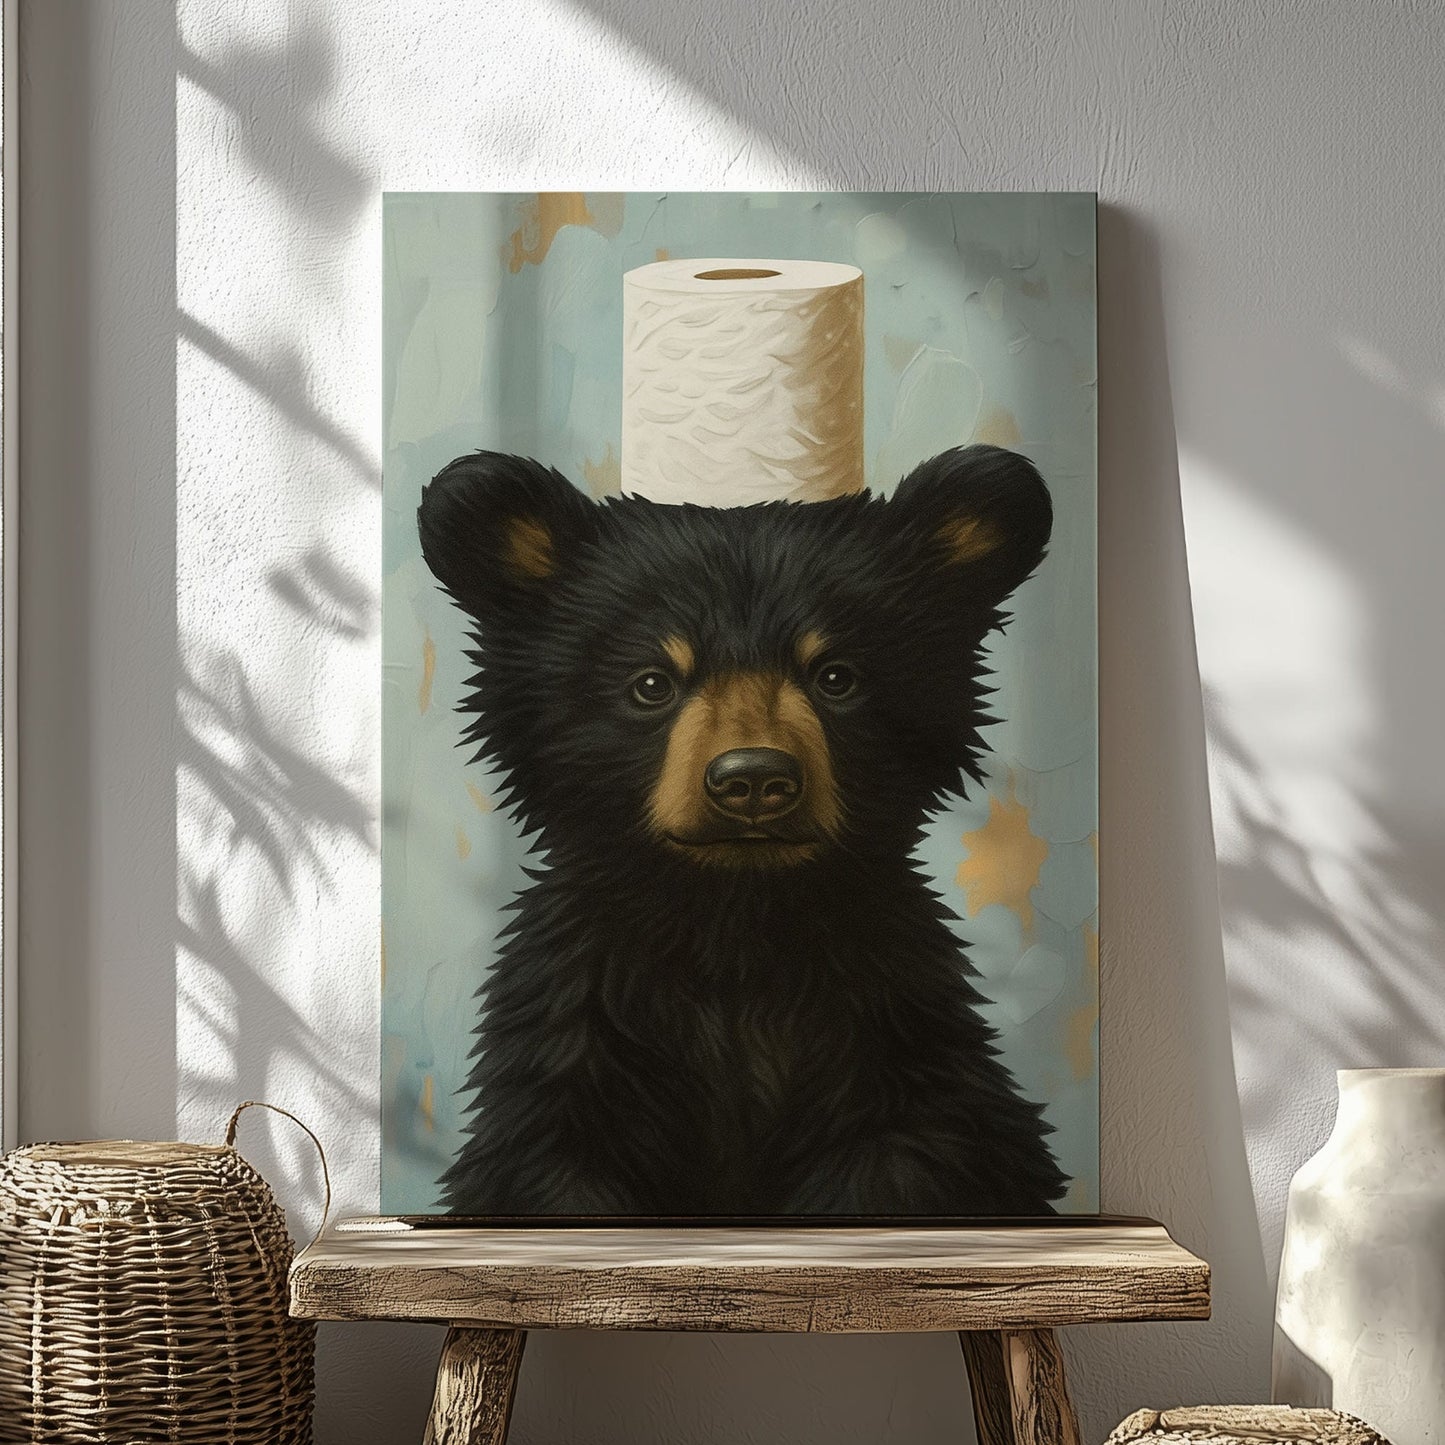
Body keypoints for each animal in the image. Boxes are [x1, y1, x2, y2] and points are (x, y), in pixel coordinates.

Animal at [417, 443, 1068, 1217]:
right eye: (651, 683)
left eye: (836, 676)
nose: (752, 779)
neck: (737, 925)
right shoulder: (572, 1051)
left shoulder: (897, 1042)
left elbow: (910, 1157)